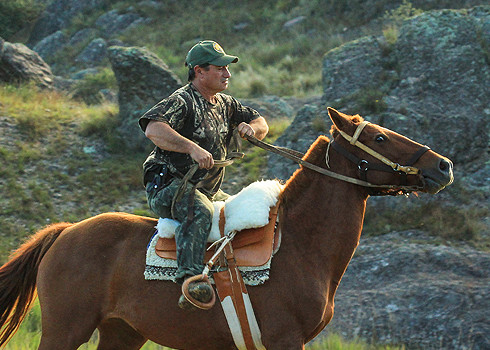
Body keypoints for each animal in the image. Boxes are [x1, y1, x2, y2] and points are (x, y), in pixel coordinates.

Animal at [0, 108, 452, 348]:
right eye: (379, 137)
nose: (443, 165)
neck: (299, 244)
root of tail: (64, 232)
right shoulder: (286, 339)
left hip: (121, 332)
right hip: (65, 329)